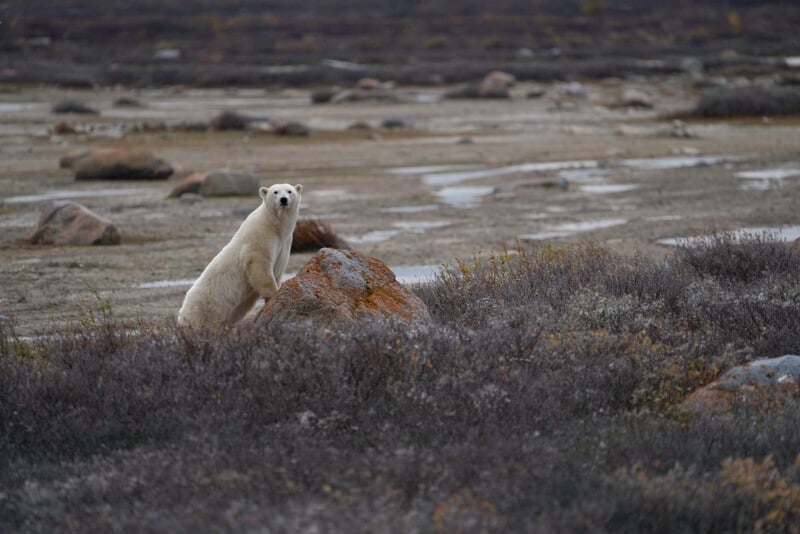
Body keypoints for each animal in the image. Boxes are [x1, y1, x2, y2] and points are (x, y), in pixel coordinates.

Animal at [177, 183, 303, 329]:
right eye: (275, 192)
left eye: (289, 191)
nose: (283, 200)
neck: (274, 224)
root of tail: (181, 317)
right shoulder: (259, 236)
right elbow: (259, 265)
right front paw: (275, 293)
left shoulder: (285, 243)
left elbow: (277, 270)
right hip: (206, 307)